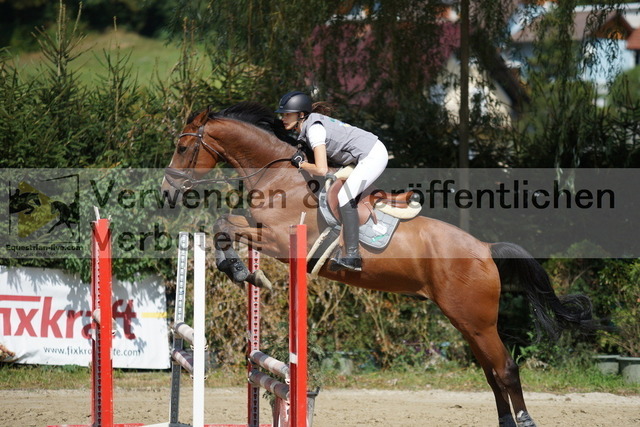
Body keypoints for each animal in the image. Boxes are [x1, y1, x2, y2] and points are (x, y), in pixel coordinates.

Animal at [161, 102, 596, 427]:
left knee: (505, 369)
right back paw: (507, 421)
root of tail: (486, 250)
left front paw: (243, 272)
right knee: (491, 372)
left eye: (182, 148)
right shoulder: (260, 230)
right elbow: (223, 226)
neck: (279, 174)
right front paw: (242, 272)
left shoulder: (279, 239)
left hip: (477, 320)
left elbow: (223, 225)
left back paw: (524, 420)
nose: (167, 191)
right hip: (466, 320)